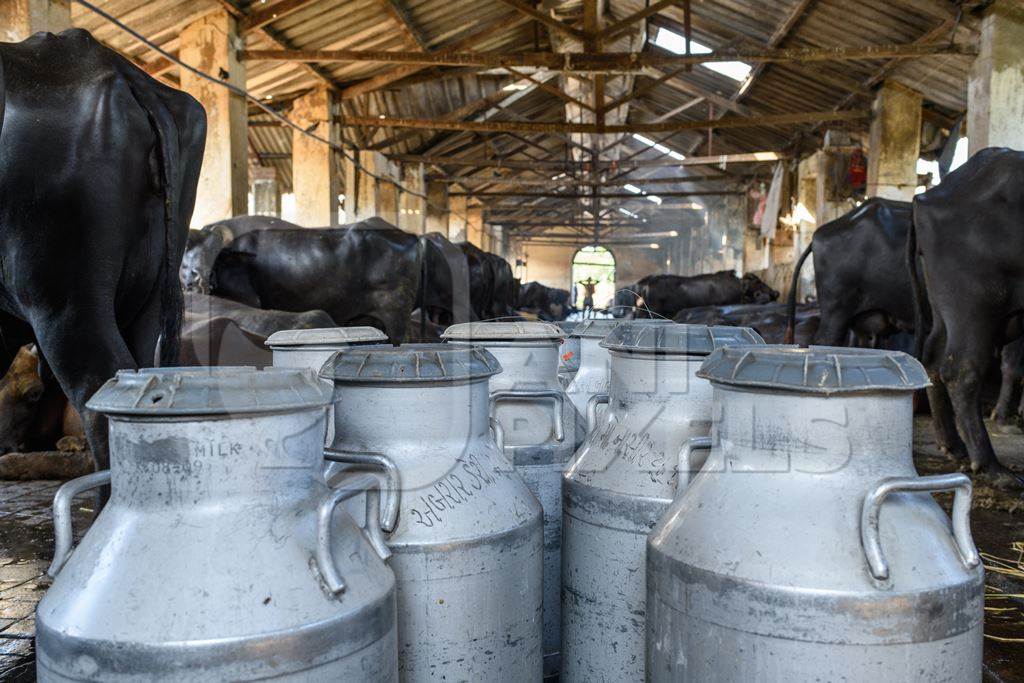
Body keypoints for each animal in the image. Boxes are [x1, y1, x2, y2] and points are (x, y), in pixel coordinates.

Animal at [909, 148, 1024, 485]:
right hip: (972, 306)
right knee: (961, 371)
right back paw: (992, 467)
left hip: (944, 308)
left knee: (933, 359)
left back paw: (954, 446)